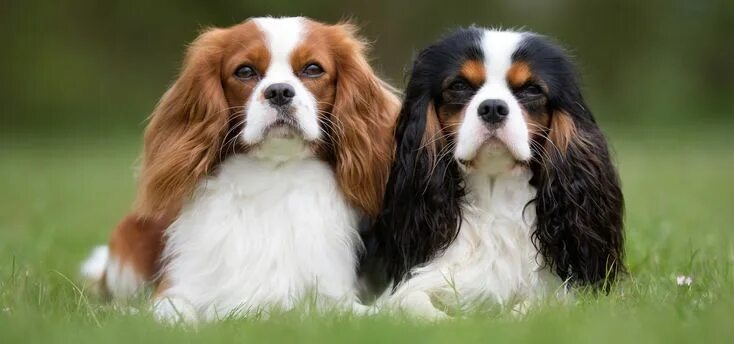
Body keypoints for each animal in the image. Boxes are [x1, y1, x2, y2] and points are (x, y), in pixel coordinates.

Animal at [82, 16, 400, 322]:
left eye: (312, 69)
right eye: (245, 71)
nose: (279, 91)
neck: (274, 174)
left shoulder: (332, 297)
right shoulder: (176, 289)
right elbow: (172, 313)